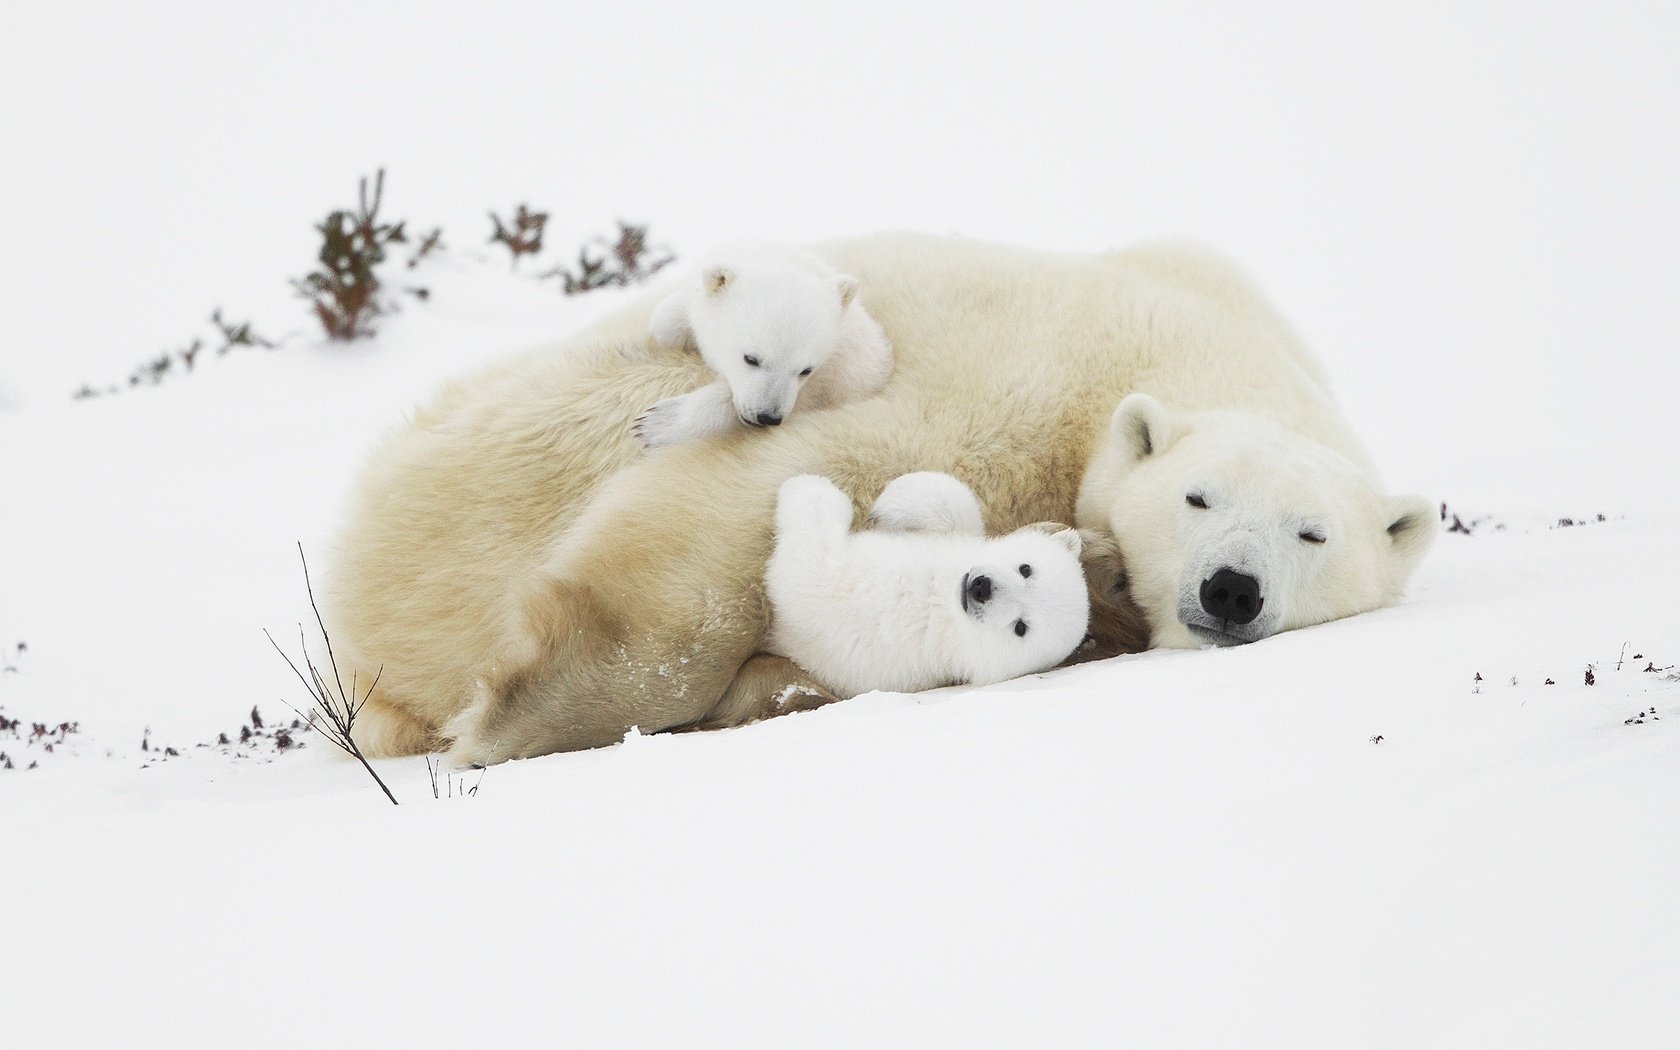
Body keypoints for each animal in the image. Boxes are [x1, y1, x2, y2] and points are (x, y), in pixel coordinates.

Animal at [631, 241, 893, 446]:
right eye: (751, 358)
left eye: (806, 370)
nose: (768, 417)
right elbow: (665, 321)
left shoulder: (844, 372)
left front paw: (655, 423)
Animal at [766, 470, 1088, 695]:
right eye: (1026, 569)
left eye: (1021, 627)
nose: (980, 587)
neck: (941, 596)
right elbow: (955, 505)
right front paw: (890, 502)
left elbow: (806, 570)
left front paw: (806, 486)